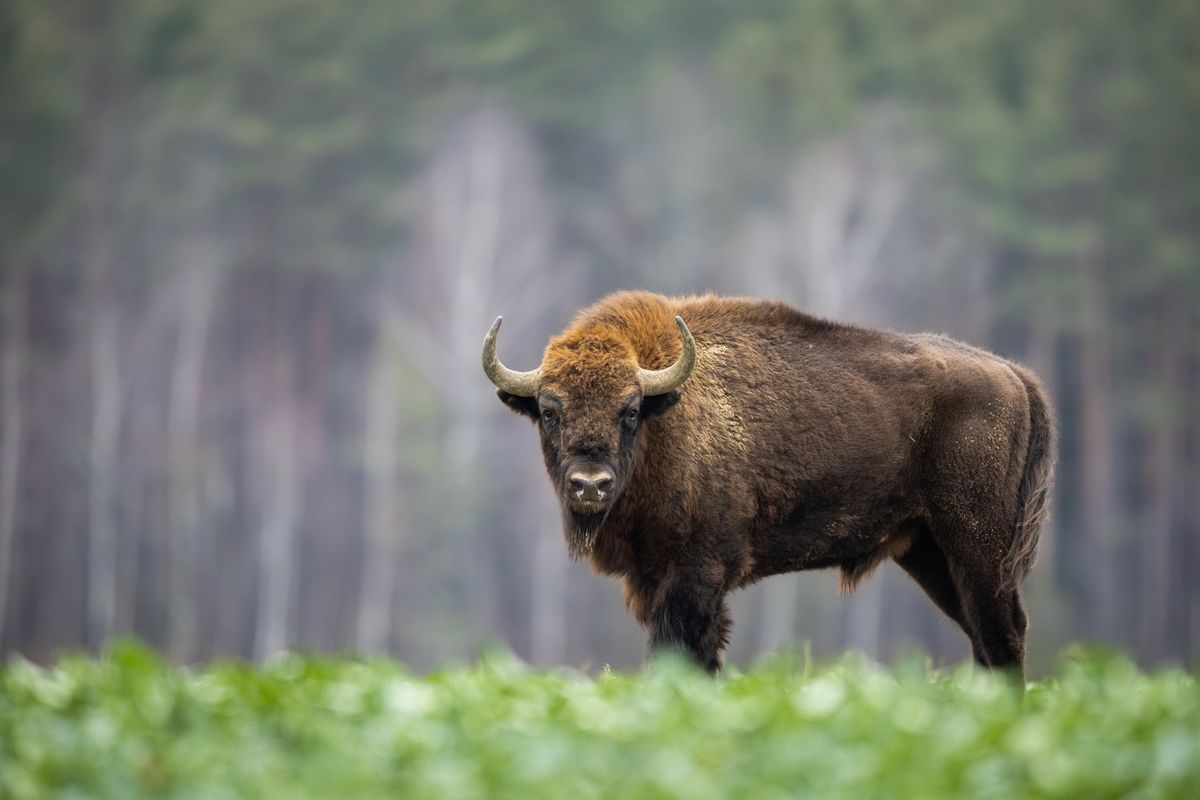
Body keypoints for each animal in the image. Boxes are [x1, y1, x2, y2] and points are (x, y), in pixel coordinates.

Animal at [482, 291, 1056, 681]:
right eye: (549, 411)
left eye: (629, 410)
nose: (590, 485)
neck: (665, 416)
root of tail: (1015, 375)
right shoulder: (651, 577)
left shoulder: (697, 574)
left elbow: (685, 653)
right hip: (929, 552)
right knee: (982, 635)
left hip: (978, 546)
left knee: (1004, 633)